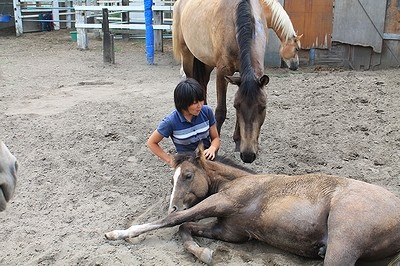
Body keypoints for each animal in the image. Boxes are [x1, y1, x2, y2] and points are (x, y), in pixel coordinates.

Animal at [105, 144, 400, 264]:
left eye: (187, 176)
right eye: (172, 179)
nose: (173, 206)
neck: (238, 180)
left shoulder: (220, 201)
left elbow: (173, 223)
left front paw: (119, 233)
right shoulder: (229, 232)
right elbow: (185, 228)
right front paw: (205, 253)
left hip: (343, 244)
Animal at [172, 0, 300, 163]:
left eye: (263, 107)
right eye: (296, 49)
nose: (248, 155)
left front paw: (238, 142)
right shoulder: (223, 73)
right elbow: (221, 111)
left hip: (206, 61)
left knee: (203, 84)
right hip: (187, 54)